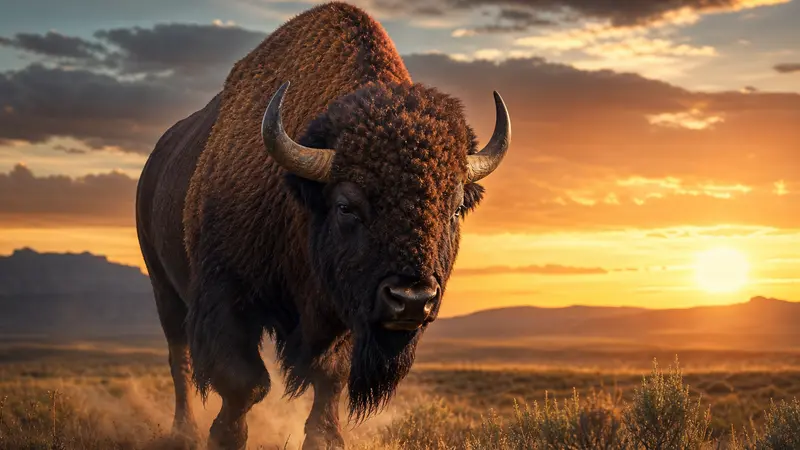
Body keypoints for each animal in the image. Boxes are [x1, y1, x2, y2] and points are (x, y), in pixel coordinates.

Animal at [135, 2, 511, 449]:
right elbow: (244, 383)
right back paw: (184, 430)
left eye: (454, 208)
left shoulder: (347, 308)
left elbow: (330, 378)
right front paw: (224, 436)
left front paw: (325, 438)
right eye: (346, 206)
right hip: (163, 287)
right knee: (180, 359)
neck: (297, 197)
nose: (412, 299)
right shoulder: (225, 293)